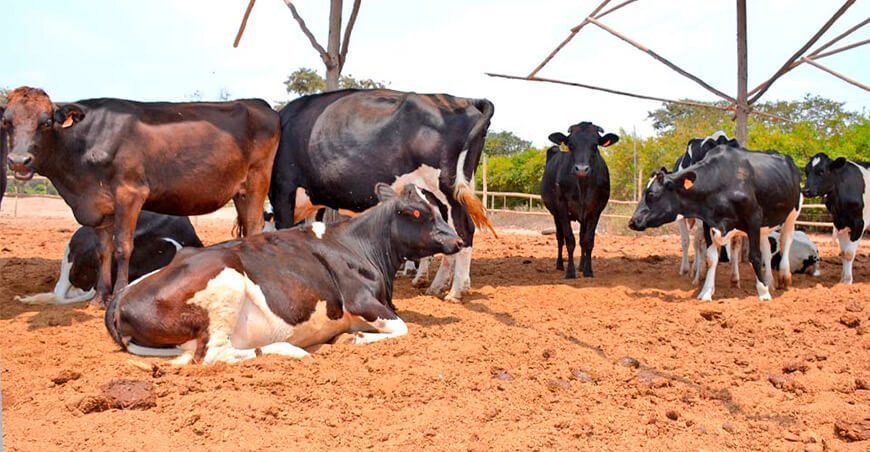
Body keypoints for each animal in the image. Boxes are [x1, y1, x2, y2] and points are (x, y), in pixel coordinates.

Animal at [105, 183, 463, 365]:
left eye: (438, 209)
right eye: (419, 213)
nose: (458, 240)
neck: (361, 246)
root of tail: (120, 298)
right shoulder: (361, 301)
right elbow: (402, 329)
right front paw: (355, 338)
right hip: (225, 285)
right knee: (213, 355)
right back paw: (291, 350)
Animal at [269, 89, 495, 302]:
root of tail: (462, 100)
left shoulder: (283, 192)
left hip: (449, 190)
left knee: (464, 229)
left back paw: (455, 291)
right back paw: (437, 286)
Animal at [541, 122, 619, 278]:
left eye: (595, 145)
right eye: (571, 145)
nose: (582, 169)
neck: (583, 187)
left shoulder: (596, 210)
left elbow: (588, 240)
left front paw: (588, 270)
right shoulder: (562, 208)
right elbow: (570, 239)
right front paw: (570, 272)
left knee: (582, 237)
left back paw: (582, 266)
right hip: (555, 214)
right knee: (560, 237)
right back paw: (560, 264)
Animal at [628, 145, 802, 301]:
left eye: (652, 194)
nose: (632, 221)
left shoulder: (753, 218)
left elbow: (754, 256)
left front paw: (763, 293)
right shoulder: (708, 223)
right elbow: (712, 258)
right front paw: (706, 292)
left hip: (793, 213)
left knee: (786, 239)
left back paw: (784, 277)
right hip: (765, 225)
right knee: (766, 247)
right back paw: (770, 282)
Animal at [802, 152, 870, 284]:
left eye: (821, 171)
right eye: (806, 171)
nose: (806, 190)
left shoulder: (859, 223)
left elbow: (849, 253)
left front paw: (847, 281)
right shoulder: (839, 223)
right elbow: (843, 253)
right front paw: (842, 280)